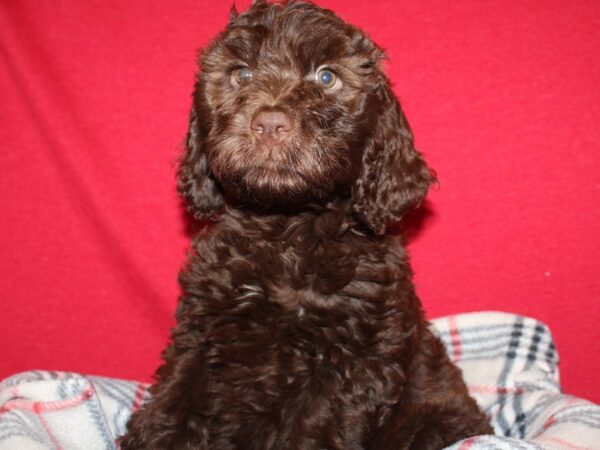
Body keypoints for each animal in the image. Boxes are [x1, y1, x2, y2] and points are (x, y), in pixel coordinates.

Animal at [120, 1, 492, 448]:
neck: (286, 230)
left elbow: (311, 428)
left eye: (327, 77)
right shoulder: (201, 329)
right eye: (241, 73)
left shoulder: (348, 362)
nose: (270, 123)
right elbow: (177, 396)